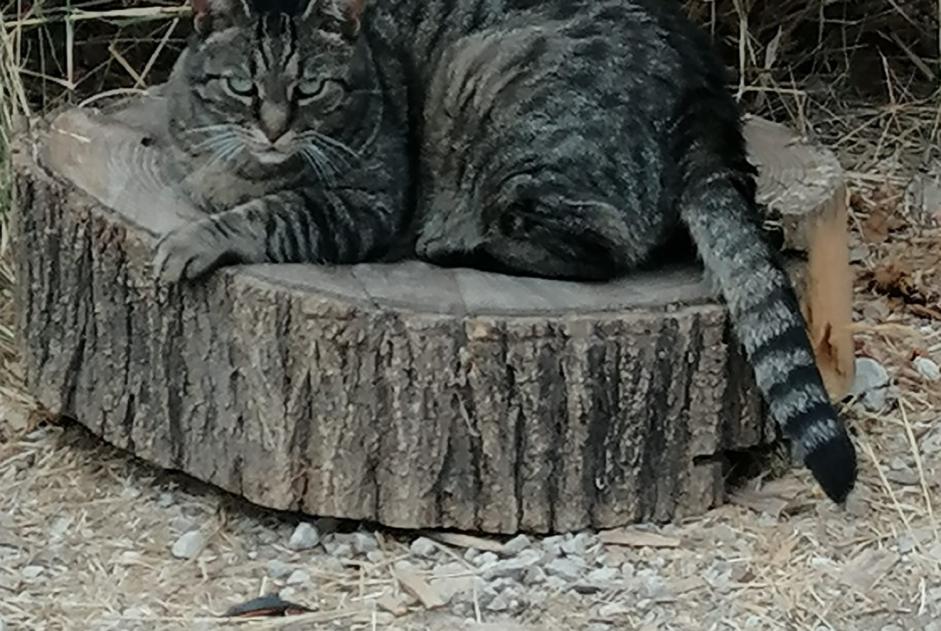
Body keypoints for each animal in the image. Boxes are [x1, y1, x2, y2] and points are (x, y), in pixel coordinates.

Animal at [154, 0, 860, 504]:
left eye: (310, 89)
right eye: (242, 87)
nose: (274, 130)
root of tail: (708, 98)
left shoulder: (363, 204)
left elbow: (269, 212)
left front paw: (196, 236)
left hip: (499, 95)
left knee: (599, 249)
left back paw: (453, 244)